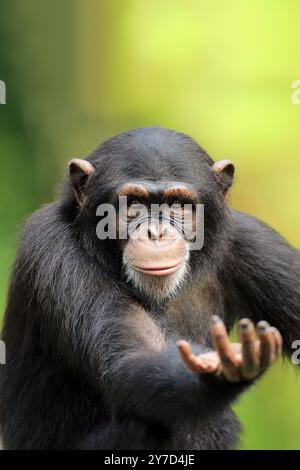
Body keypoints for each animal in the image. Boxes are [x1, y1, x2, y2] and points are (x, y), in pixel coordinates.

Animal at [0, 126, 298, 450]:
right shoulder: (52, 247)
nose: (156, 232)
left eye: (178, 205)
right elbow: (128, 362)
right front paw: (218, 370)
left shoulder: (254, 243)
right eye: (134, 204)